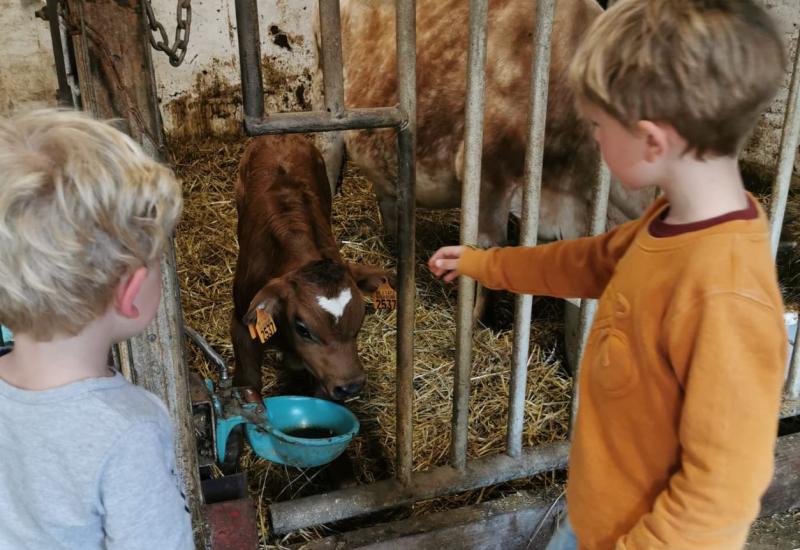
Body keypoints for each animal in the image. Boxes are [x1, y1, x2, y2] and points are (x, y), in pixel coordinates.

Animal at [230, 134, 396, 402]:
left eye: (360, 317)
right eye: (302, 328)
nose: (351, 386)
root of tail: (280, 137)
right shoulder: (241, 324)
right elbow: (248, 382)